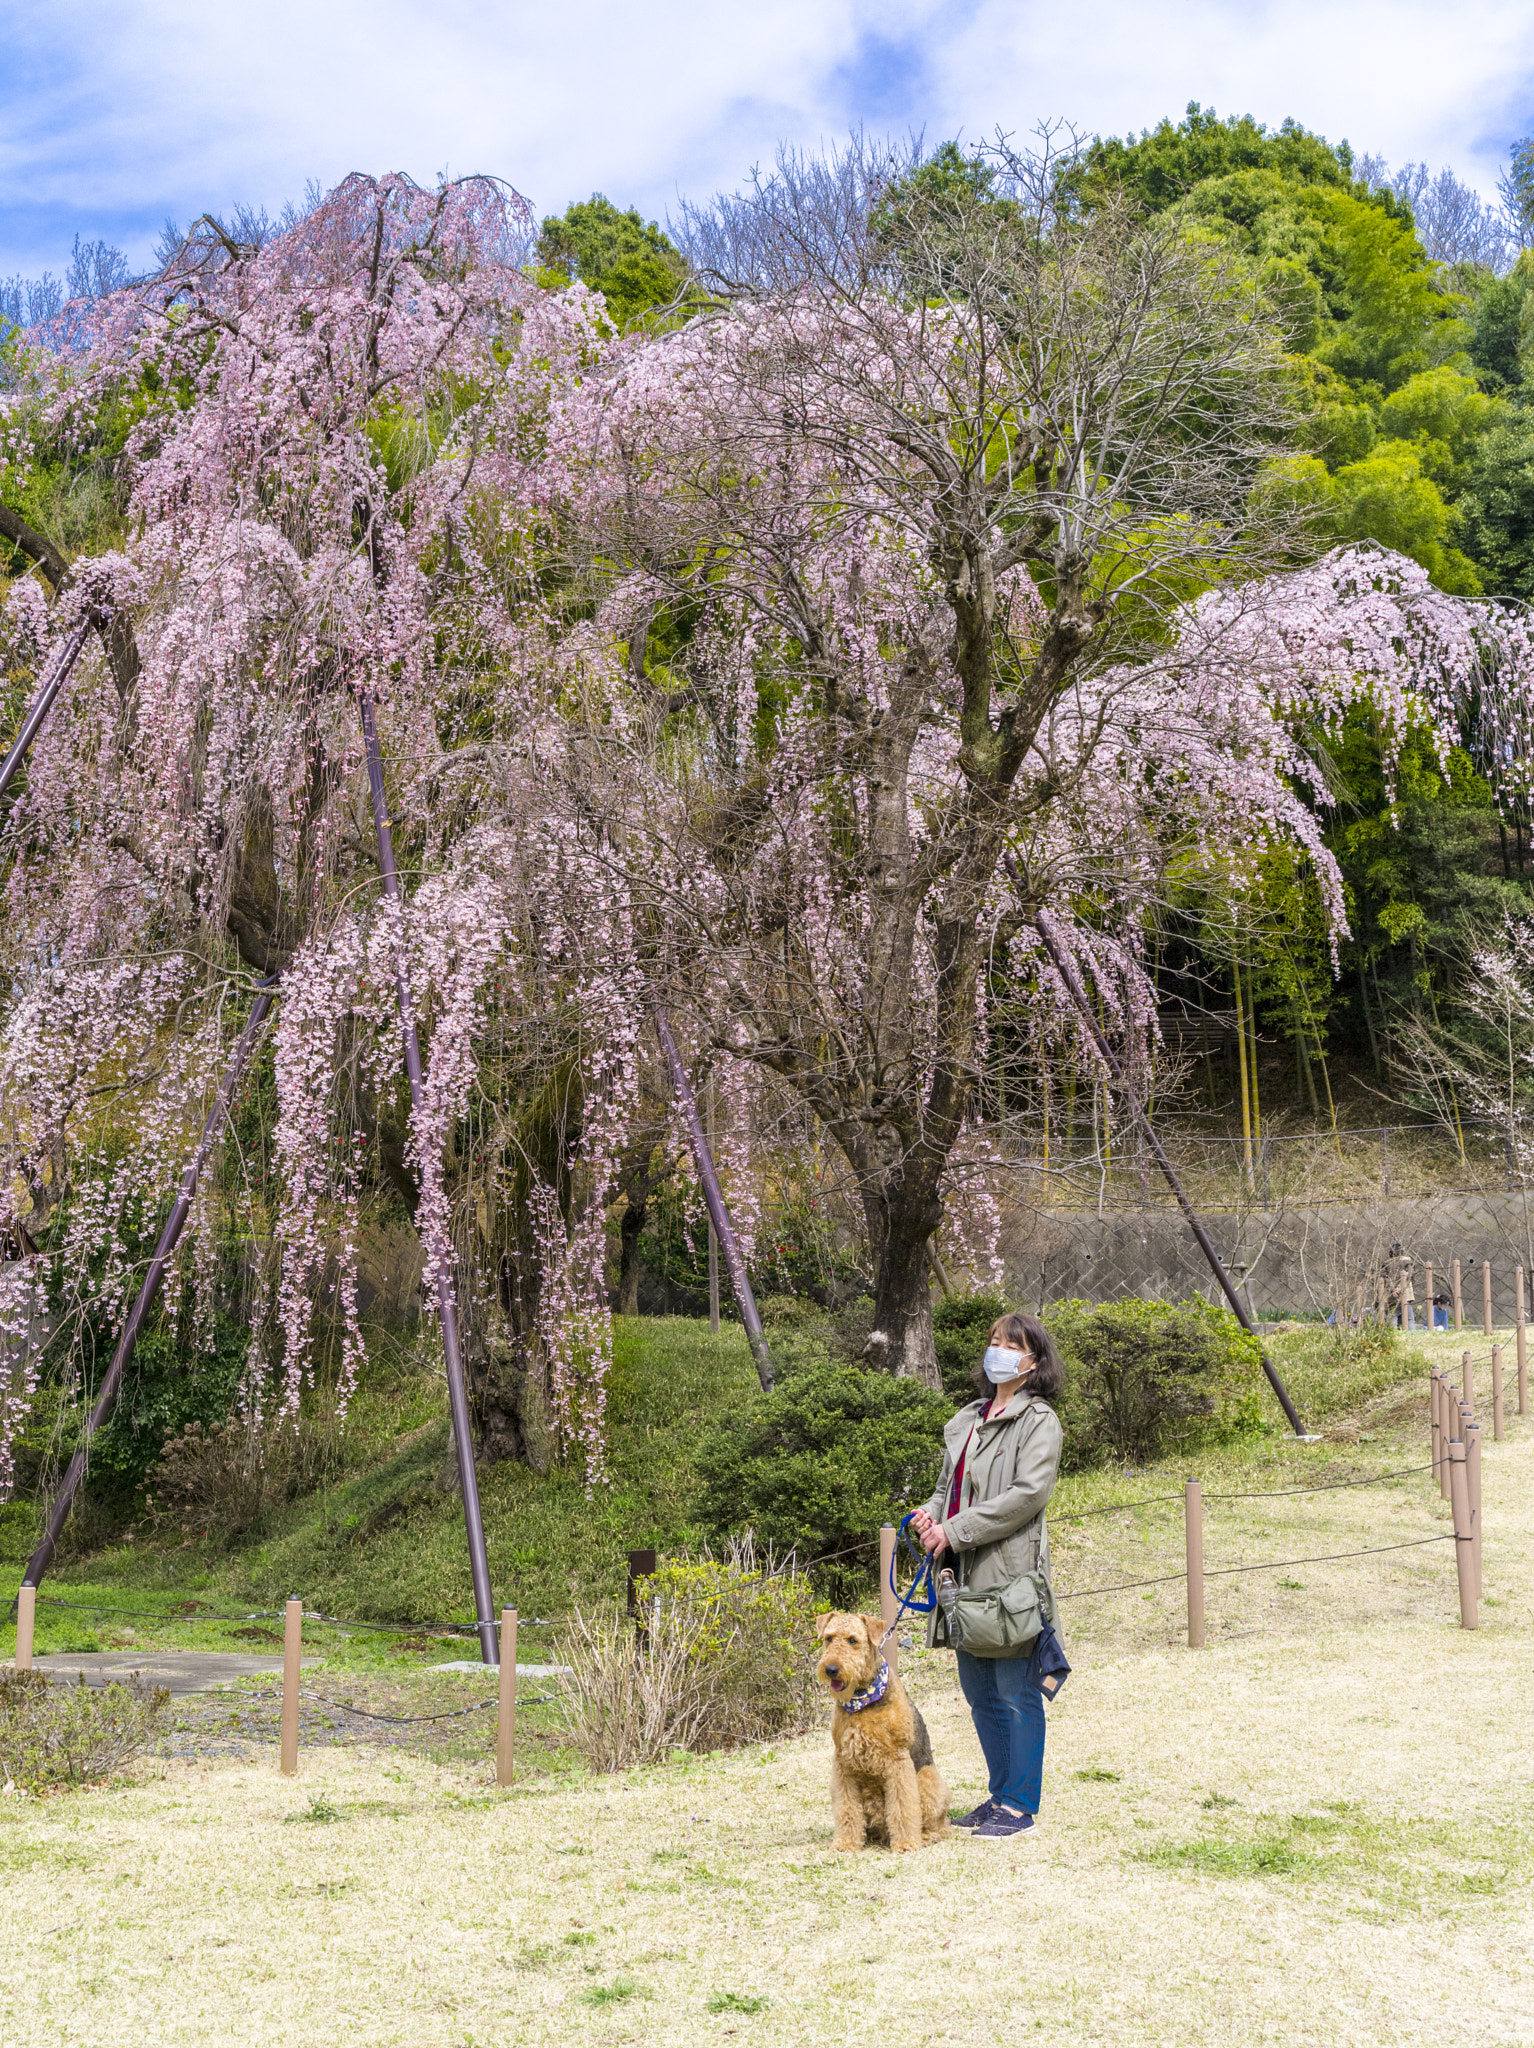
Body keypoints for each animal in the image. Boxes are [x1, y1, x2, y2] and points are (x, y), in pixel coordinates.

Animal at [815, 1613, 946, 1859]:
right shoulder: (843, 1762)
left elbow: (902, 1807)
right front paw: (846, 1843)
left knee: (939, 1825)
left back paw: (924, 1837)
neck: (862, 1700)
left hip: (927, 1777)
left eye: (853, 1640)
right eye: (828, 1638)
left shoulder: (898, 1760)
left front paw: (905, 1843)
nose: (831, 1669)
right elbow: (847, 1809)